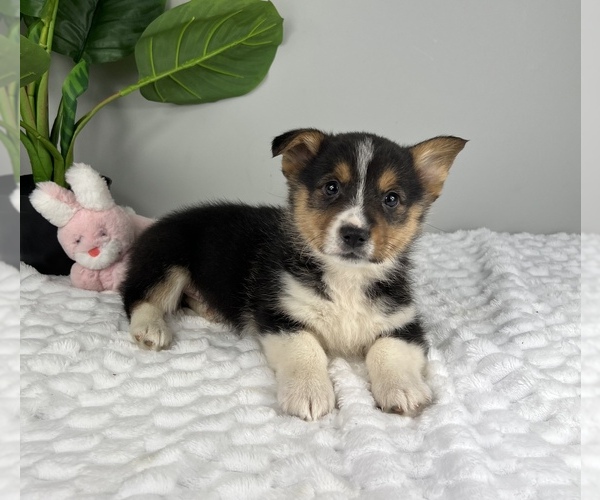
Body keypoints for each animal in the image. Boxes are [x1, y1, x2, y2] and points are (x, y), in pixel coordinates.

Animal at [122, 129, 466, 418]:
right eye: (331, 187)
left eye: (391, 198)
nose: (354, 234)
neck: (345, 278)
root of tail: (158, 224)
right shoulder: (280, 314)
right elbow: (306, 348)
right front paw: (309, 393)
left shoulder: (404, 323)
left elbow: (387, 349)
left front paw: (403, 390)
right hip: (167, 258)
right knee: (137, 295)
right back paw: (151, 328)